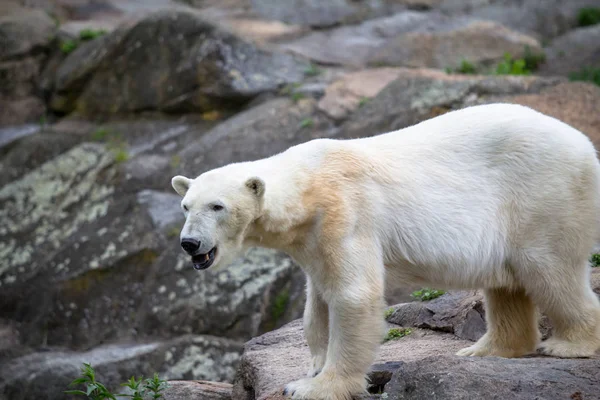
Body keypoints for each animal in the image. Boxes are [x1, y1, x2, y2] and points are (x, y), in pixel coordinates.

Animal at [171, 104, 600, 400]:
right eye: (186, 205)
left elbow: (353, 295)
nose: (189, 243)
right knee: (507, 282)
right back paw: (484, 350)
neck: (308, 185)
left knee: (547, 268)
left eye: (217, 206)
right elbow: (318, 300)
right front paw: (313, 367)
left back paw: (568, 344)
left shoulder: (345, 212)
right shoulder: (312, 238)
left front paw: (314, 387)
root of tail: (584, 144)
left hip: (541, 193)